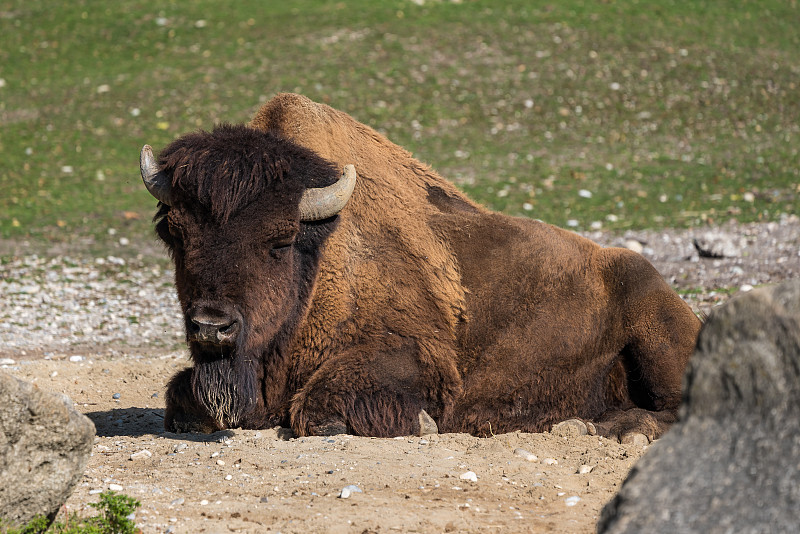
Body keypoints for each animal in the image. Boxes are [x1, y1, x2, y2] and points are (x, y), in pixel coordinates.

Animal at [142, 94, 700, 442]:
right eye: (176, 233)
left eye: (279, 241)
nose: (211, 326)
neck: (320, 254)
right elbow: (180, 398)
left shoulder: (420, 357)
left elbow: (319, 409)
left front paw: (425, 424)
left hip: (657, 332)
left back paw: (600, 429)